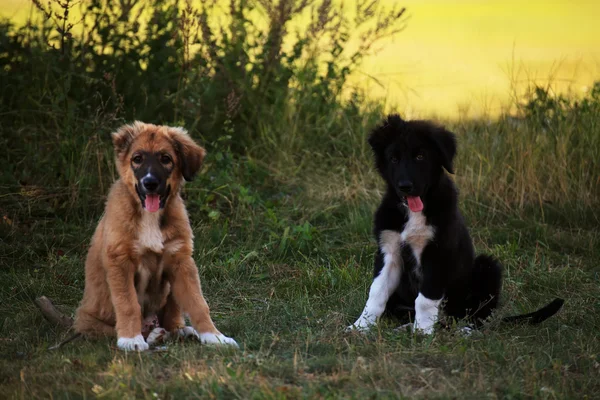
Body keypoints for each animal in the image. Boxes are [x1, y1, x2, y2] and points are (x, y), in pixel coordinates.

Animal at [73, 121, 237, 350]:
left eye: (166, 159)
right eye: (137, 159)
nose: (149, 183)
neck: (150, 216)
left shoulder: (180, 261)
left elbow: (198, 303)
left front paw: (215, 336)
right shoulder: (120, 261)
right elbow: (128, 304)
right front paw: (131, 339)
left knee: (172, 317)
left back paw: (177, 331)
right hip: (88, 319)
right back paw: (150, 335)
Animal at [346, 115, 564, 334]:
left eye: (420, 157)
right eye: (393, 158)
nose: (405, 186)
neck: (415, 212)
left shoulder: (438, 253)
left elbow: (425, 299)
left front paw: (422, 332)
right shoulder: (389, 250)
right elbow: (376, 293)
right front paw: (360, 326)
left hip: (486, 269)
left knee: (474, 315)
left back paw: (465, 330)